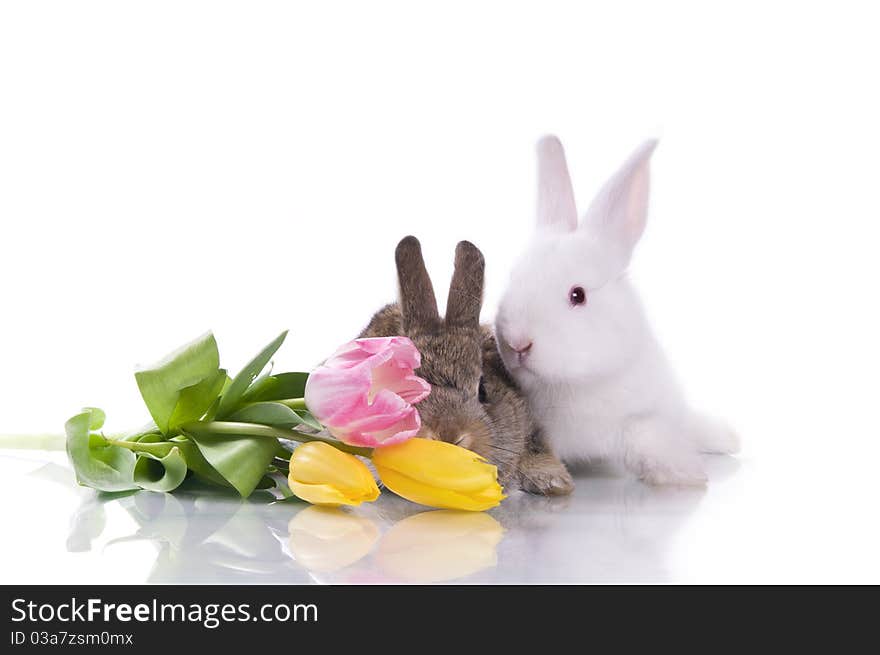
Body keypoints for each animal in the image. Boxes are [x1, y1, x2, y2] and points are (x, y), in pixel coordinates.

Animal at [498, 136, 740, 484]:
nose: (517, 343)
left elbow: (642, 434)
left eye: (578, 295)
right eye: (513, 279)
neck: (577, 385)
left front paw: (683, 471)